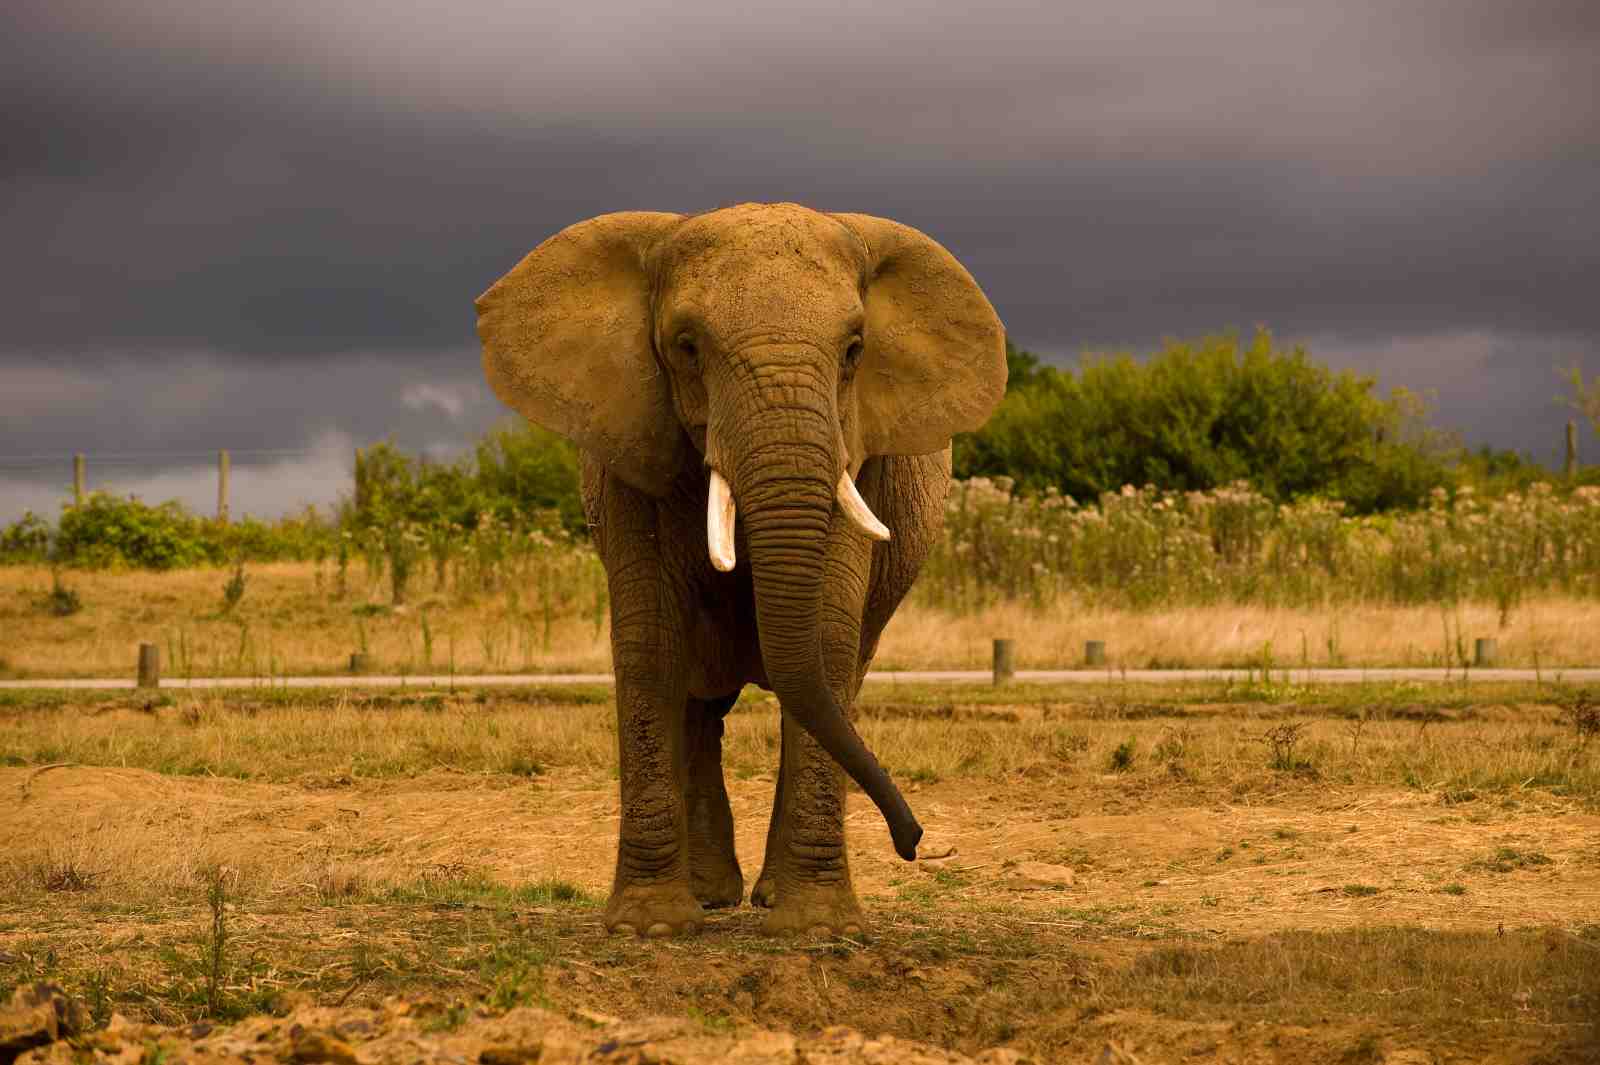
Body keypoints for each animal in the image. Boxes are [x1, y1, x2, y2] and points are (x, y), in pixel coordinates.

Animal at [476, 202, 1006, 936]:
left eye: (854, 350)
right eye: (687, 347)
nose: (917, 841)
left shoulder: (859, 450)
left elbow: (828, 640)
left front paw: (818, 927)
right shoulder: (629, 439)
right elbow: (650, 641)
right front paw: (650, 926)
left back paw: (763, 896)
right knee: (699, 697)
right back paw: (711, 894)